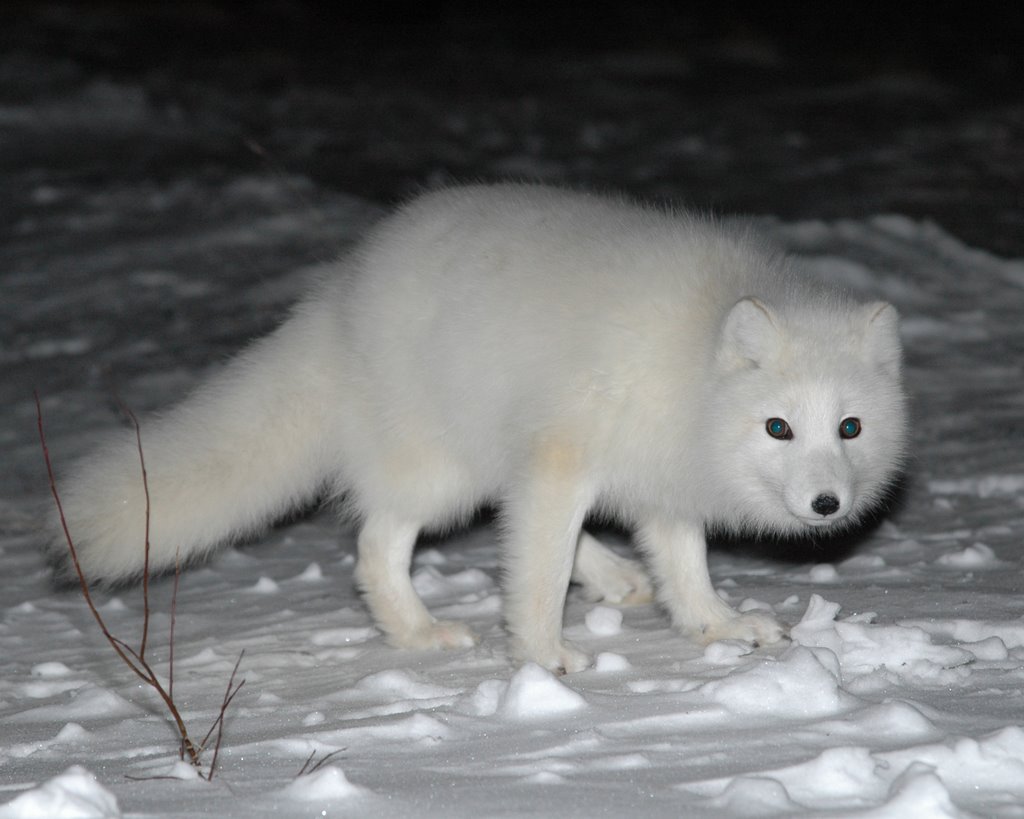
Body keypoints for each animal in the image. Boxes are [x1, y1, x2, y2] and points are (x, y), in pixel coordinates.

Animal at [51, 184, 909, 671]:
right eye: (778, 428)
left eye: (850, 426)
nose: (828, 505)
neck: (687, 363)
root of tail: (340, 290)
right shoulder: (566, 458)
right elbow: (535, 574)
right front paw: (541, 655)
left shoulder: (661, 479)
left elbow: (684, 568)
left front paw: (716, 626)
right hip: (441, 472)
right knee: (378, 544)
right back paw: (419, 633)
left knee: (499, 512)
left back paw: (611, 576)